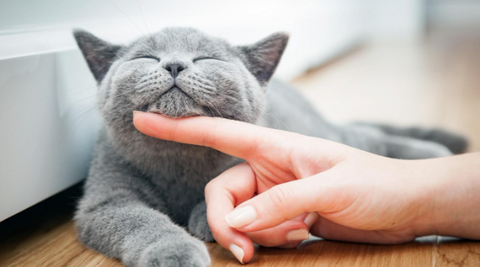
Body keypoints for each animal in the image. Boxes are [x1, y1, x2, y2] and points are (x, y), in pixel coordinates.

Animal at [73, 27, 466, 267]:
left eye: (207, 59)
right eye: (145, 58)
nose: (174, 64)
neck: (178, 160)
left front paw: (206, 217)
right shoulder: (105, 200)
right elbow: (140, 220)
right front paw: (176, 250)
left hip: (322, 133)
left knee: (363, 135)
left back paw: (433, 154)